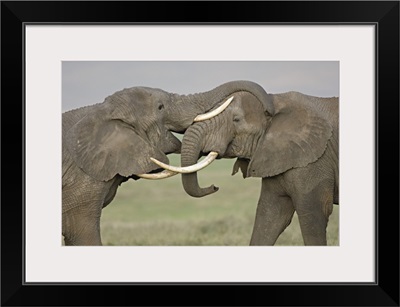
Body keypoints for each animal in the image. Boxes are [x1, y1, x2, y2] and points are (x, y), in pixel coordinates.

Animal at [152, 80, 338, 247]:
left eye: (236, 120)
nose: (214, 186)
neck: (277, 101)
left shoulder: (315, 160)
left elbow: (313, 213)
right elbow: (270, 215)